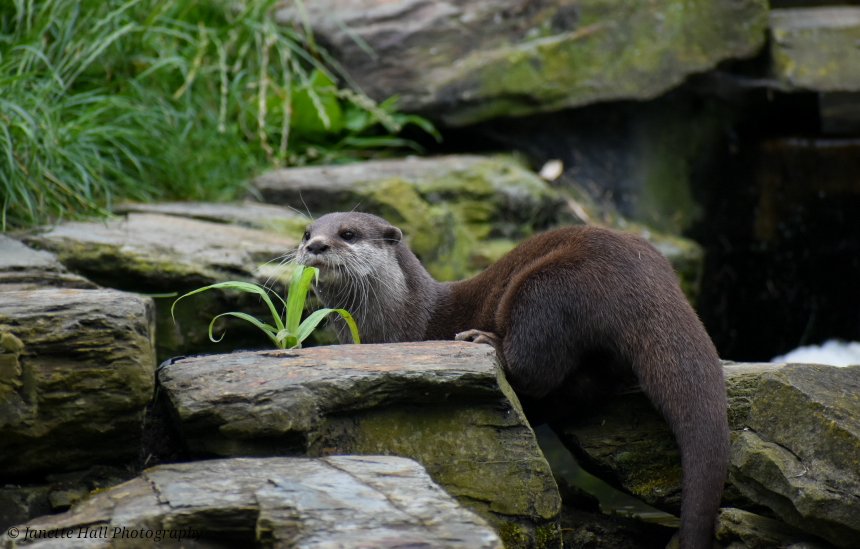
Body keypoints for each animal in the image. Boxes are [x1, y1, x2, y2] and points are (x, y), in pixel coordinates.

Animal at [296, 212, 729, 549]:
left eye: (348, 233)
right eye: (306, 231)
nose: (316, 245)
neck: (406, 319)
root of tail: (652, 280)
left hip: (549, 284)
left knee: (535, 362)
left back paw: (484, 341)